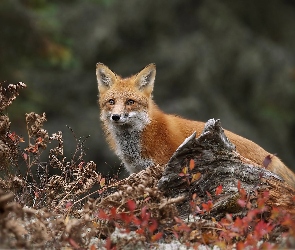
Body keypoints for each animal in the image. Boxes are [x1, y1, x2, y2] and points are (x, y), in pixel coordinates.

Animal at [97, 62, 295, 188]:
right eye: (111, 102)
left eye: (130, 102)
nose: (116, 117)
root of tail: (273, 157)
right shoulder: (138, 171)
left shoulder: (161, 168)